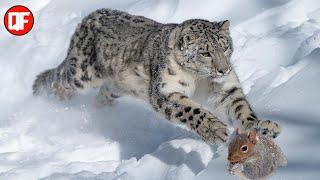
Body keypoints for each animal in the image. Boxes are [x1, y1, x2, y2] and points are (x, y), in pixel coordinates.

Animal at [32, 8, 282, 145]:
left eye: (225, 46)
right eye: (206, 52)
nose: (224, 70)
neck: (200, 80)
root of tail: (89, 17)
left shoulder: (225, 89)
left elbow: (241, 109)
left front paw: (263, 127)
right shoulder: (165, 91)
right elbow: (193, 110)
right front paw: (215, 130)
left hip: (115, 86)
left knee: (102, 95)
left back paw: (102, 113)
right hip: (82, 73)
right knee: (59, 79)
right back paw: (57, 102)